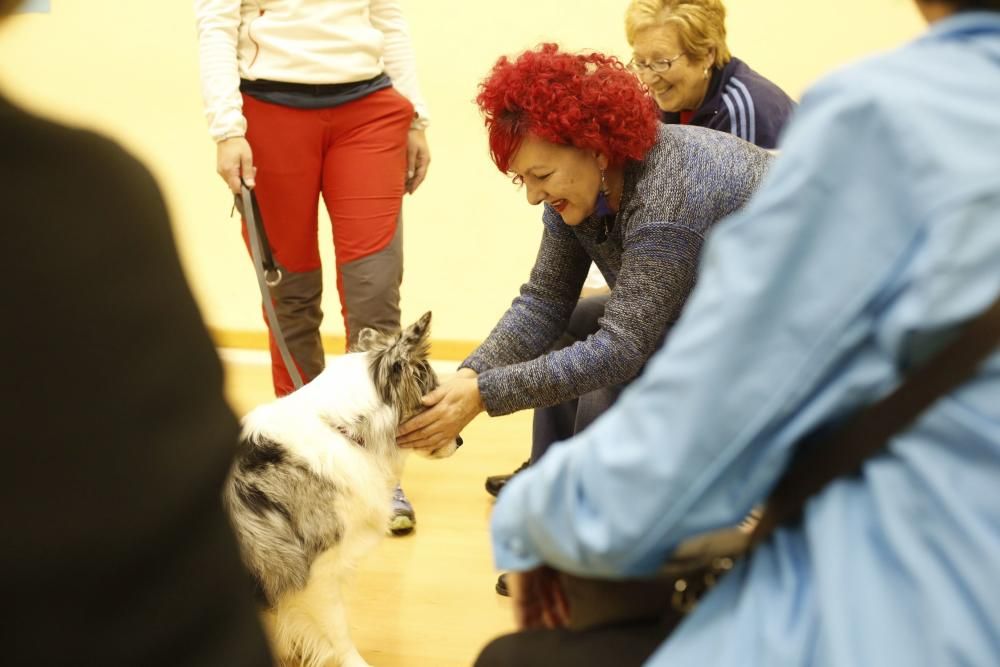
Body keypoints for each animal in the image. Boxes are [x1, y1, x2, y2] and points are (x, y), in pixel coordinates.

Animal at [225, 314, 456, 667]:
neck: (341, 429)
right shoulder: (317, 572)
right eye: (431, 388)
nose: (460, 441)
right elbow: (338, 631)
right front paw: (355, 662)